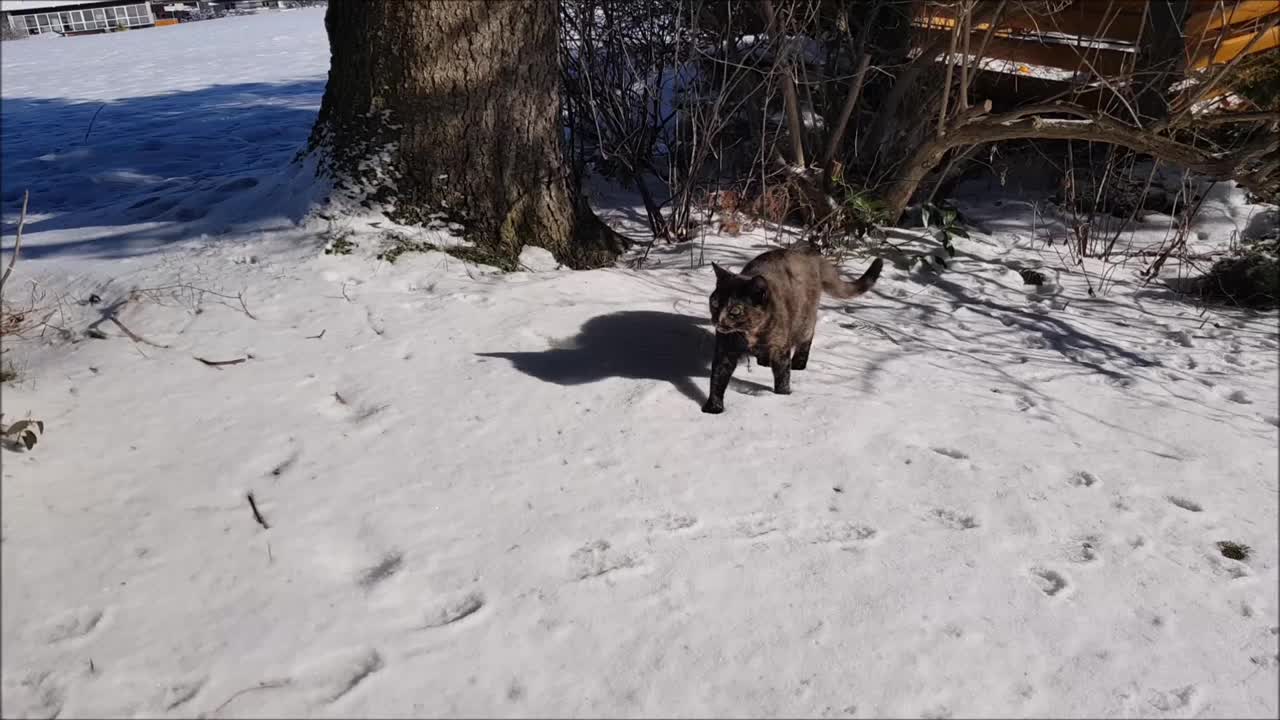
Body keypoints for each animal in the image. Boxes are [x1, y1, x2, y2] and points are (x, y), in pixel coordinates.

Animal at [701, 243, 880, 412]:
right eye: (714, 303)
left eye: (735, 310)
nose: (717, 320)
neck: (750, 333)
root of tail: (811, 255)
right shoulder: (725, 350)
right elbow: (717, 378)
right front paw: (713, 407)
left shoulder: (780, 349)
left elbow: (782, 375)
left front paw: (782, 397)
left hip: (804, 321)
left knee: (807, 338)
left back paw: (798, 363)